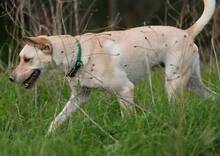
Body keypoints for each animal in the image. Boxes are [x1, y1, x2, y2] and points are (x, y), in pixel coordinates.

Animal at [9, 0, 216, 134]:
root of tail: (187, 32)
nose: (10, 78)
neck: (79, 54)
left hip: (173, 85)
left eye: (26, 59)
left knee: (179, 111)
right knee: (213, 97)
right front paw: (47, 137)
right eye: (20, 58)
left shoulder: (125, 90)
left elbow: (128, 119)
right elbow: (57, 120)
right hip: (192, 84)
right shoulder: (79, 98)